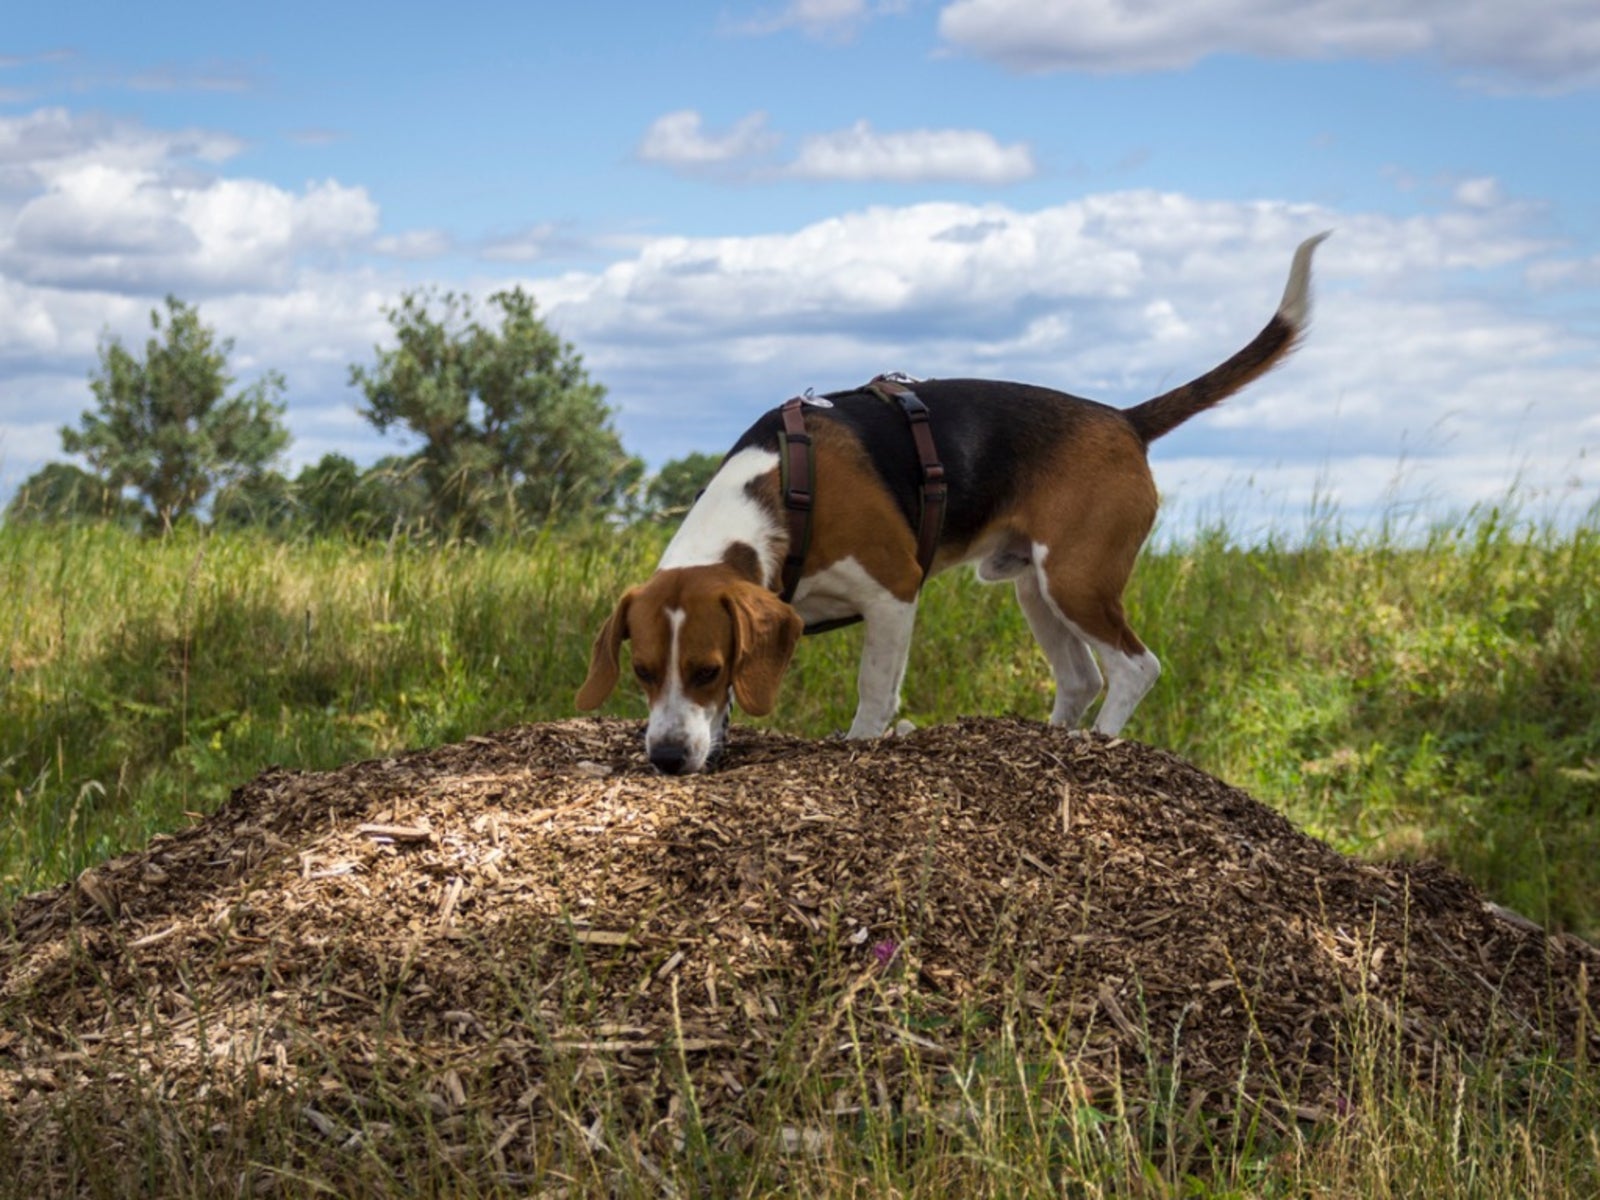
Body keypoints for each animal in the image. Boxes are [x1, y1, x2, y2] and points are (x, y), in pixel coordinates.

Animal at [576, 235, 1324, 774]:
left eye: (706, 669)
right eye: (641, 672)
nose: (668, 759)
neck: (782, 494)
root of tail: (1124, 419)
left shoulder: (893, 593)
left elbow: (875, 692)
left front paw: (859, 744)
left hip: (1076, 580)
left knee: (1135, 669)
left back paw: (1100, 745)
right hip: (1035, 589)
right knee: (1080, 679)